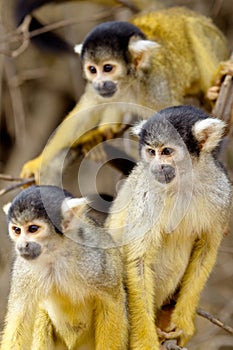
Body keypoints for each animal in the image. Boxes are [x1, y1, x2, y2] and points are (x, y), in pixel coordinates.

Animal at [0, 186, 127, 350]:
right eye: (17, 230)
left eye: (33, 229)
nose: (21, 246)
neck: (55, 255)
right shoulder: (23, 270)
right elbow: (19, 319)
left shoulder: (96, 260)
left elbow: (112, 302)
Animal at [20, 6, 229, 182]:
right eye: (92, 69)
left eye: (107, 68)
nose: (99, 83)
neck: (129, 84)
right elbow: (82, 115)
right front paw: (37, 163)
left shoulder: (156, 88)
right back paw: (101, 134)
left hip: (216, 42)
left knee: (195, 29)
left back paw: (214, 90)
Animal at [106, 105, 233, 348]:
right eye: (151, 152)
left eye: (166, 151)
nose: (156, 166)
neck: (184, 181)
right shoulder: (149, 192)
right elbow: (138, 259)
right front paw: (145, 341)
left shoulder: (222, 191)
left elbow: (207, 248)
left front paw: (183, 322)